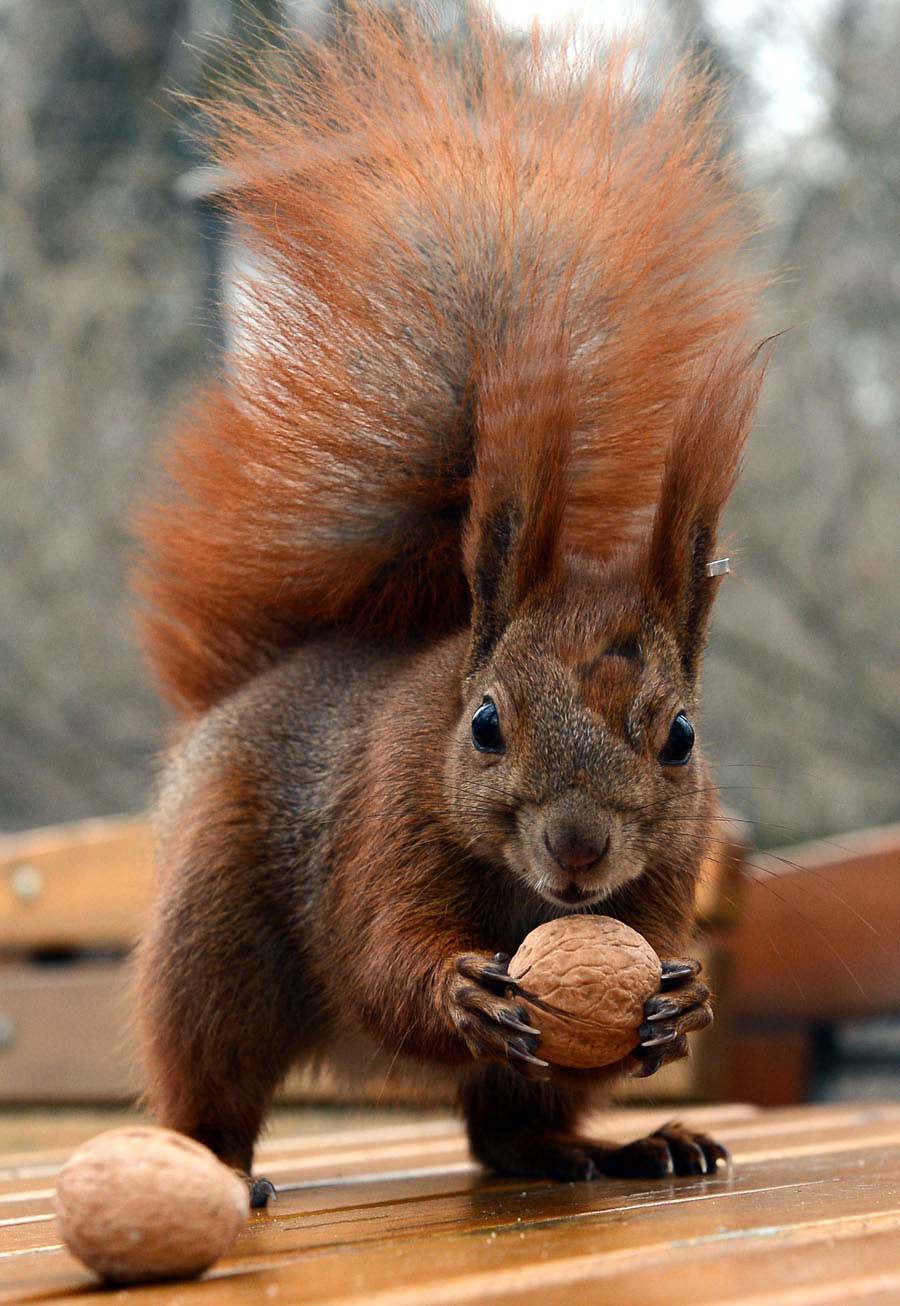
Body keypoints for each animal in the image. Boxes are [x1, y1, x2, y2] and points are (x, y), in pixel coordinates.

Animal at [133, 2, 762, 1201]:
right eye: (483, 726)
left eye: (682, 737)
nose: (577, 847)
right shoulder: (385, 826)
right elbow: (384, 968)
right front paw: (458, 992)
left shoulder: (670, 873)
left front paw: (683, 1005)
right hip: (216, 944)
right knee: (210, 1079)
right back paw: (217, 1165)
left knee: (507, 1130)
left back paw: (613, 1146)